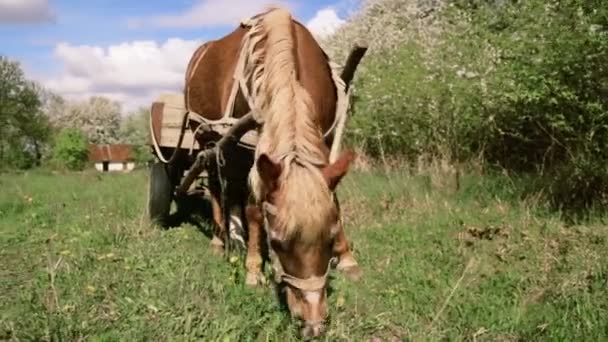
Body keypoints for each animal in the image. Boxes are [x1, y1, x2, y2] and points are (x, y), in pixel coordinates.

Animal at [183, 6, 358, 338]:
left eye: (329, 240)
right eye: (277, 243)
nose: (313, 324)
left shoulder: (324, 145)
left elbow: (336, 200)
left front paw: (347, 257)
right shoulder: (245, 148)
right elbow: (254, 210)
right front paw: (254, 268)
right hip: (208, 140)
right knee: (217, 186)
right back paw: (221, 238)